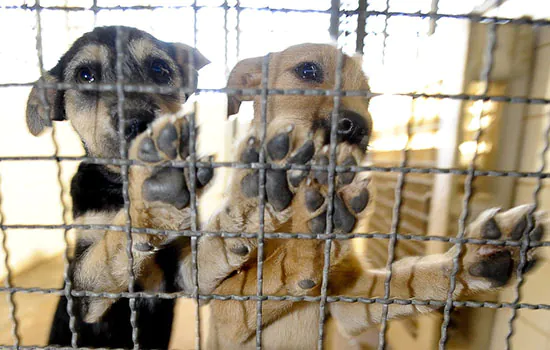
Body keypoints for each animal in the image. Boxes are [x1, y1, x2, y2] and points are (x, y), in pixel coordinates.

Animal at [25, 26, 211, 348]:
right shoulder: (82, 294)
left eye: (159, 70)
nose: (137, 123)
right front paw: (151, 206)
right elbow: (107, 249)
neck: (120, 186)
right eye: (86, 76)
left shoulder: (178, 276)